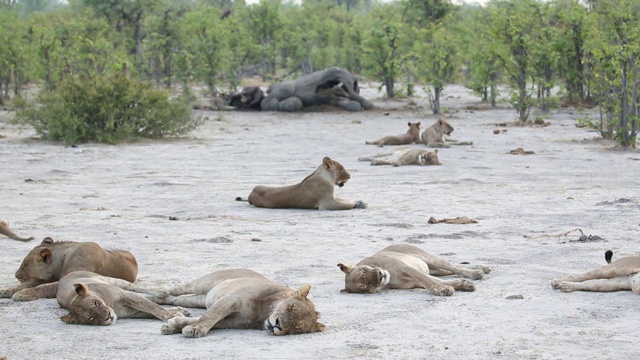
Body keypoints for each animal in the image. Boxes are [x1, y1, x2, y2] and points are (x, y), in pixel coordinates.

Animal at [0, 236, 139, 300]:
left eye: (23, 265)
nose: (16, 275)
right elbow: (27, 284)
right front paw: (6, 291)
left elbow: (43, 287)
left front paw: (23, 294)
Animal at [49, 270, 190, 326]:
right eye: (91, 318)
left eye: (96, 303)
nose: (108, 316)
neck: (112, 306)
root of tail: (64, 276)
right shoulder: (130, 311)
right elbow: (150, 310)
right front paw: (177, 313)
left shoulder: (125, 295)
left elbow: (153, 307)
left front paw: (171, 315)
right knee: (153, 299)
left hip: (114, 281)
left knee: (137, 288)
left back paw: (161, 291)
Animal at [158, 268, 328, 338]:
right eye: (290, 307)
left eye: (296, 327)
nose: (278, 325)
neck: (263, 315)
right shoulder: (231, 299)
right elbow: (210, 316)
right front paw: (194, 330)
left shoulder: (234, 321)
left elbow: (207, 320)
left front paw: (173, 325)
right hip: (203, 283)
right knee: (170, 290)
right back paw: (155, 292)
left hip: (198, 299)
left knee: (171, 298)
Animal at [235, 155, 364, 211]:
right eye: (341, 169)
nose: (349, 176)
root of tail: (250, 195)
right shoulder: (326, 203)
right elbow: (346, 204)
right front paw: (355, 203)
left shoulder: (333, 197)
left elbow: (344, 199)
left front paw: (360, 202)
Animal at [338, 243, 492, 296]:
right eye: (365, 285)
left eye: (363, 271)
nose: (379, 276)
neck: (389, 282)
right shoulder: (413, 282)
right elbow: (434, 281)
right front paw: (463, 285)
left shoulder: (406, 267)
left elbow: (427, 281)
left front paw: (443, 290)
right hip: (435, 269)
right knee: (450, 270)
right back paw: (482, 270)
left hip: (429, 258)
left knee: (453, 265)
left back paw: (479, 271)